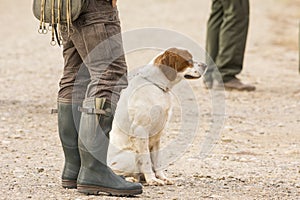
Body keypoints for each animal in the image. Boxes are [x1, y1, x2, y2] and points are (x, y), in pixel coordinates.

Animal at [107, 47, 206, 186]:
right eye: (189, 60)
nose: (205, 65)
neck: (157, 86)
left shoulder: (158, 134)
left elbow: (157, 160)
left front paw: (162, 177)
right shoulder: (141, 130)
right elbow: (147, 160)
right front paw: (152, 179)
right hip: (130, 155)